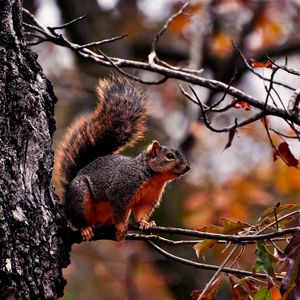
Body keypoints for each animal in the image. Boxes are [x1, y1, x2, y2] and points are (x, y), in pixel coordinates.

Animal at [55, 75, 191, 241]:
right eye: (169, 156)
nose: (187, 167)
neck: (152, 177)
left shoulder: (149, 198)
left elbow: (141, 212)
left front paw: (145, 223)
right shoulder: (121, 190)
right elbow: (119, 211)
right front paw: (121, 227)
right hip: (80, 196)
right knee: (78, 218)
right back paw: (85, 228)